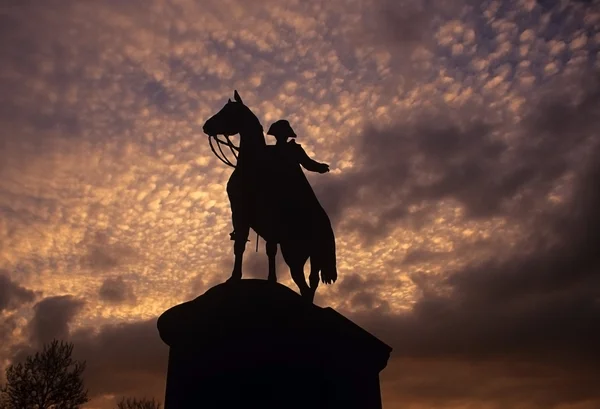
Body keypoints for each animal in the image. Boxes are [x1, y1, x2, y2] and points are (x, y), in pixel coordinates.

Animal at [203, 90, 338, 300]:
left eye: (229, 112)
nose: (206, 126)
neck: (251, 168)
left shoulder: (251, 216)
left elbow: (250, 246)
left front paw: (239, 278)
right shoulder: (253, 220)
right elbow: (255, 248)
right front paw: (263, 279)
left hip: (299, 254)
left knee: (308, 282)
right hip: (303, 256)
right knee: (308, 282)